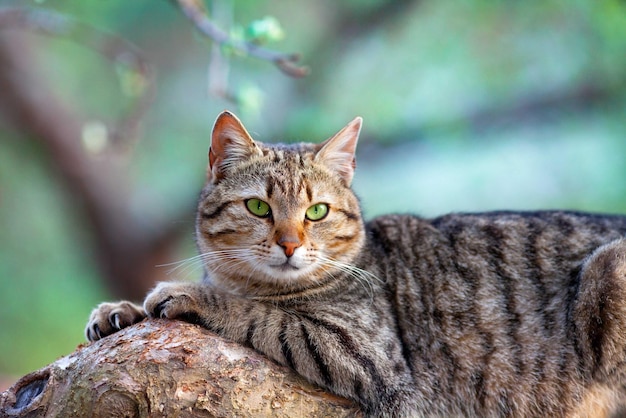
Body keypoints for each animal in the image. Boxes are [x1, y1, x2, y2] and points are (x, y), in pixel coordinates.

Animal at [88, 111, 626, 418]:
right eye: (258, 207)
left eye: (317, 212)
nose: (289, 244)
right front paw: (119, 311)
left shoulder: (366, 353)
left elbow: (260, 314)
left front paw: (188, 295)